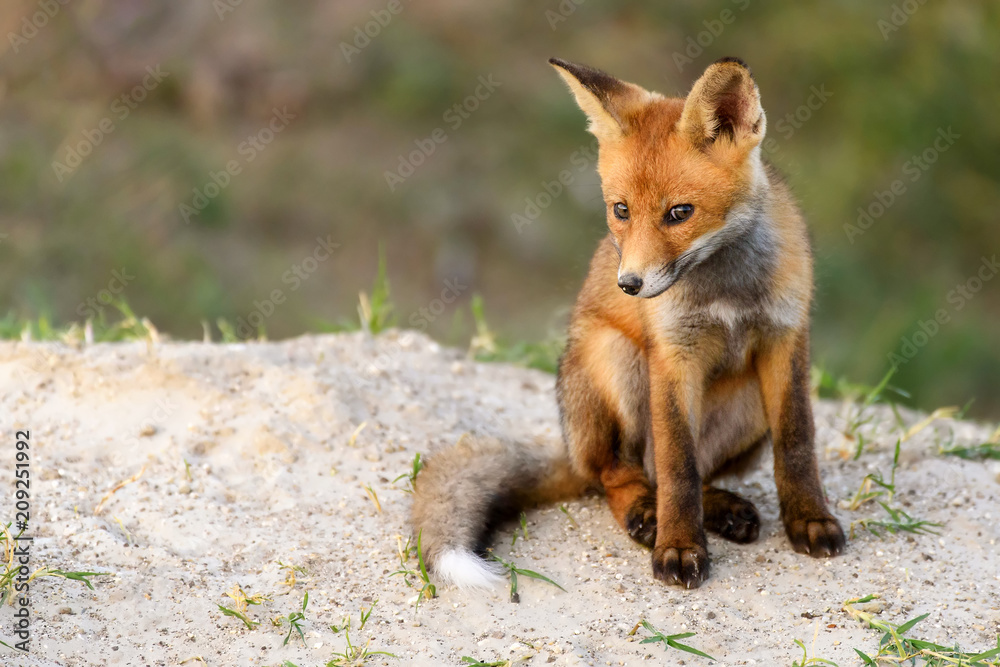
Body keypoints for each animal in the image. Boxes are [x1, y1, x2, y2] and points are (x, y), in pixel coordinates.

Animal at [412, 57, 844, 588]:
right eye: (621, 210)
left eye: (680, 212)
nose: (629, 285)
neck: (725, 291)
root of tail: (571, 447)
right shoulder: (673, 353)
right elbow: (678, 466)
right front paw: (678, 547)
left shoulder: (785, 337)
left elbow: (797, 442)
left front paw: (809, 519)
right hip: (615, 359)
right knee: (624, 477)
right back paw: (647, 515)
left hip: (748, 403)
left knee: (685, 472)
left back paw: (720, 509)